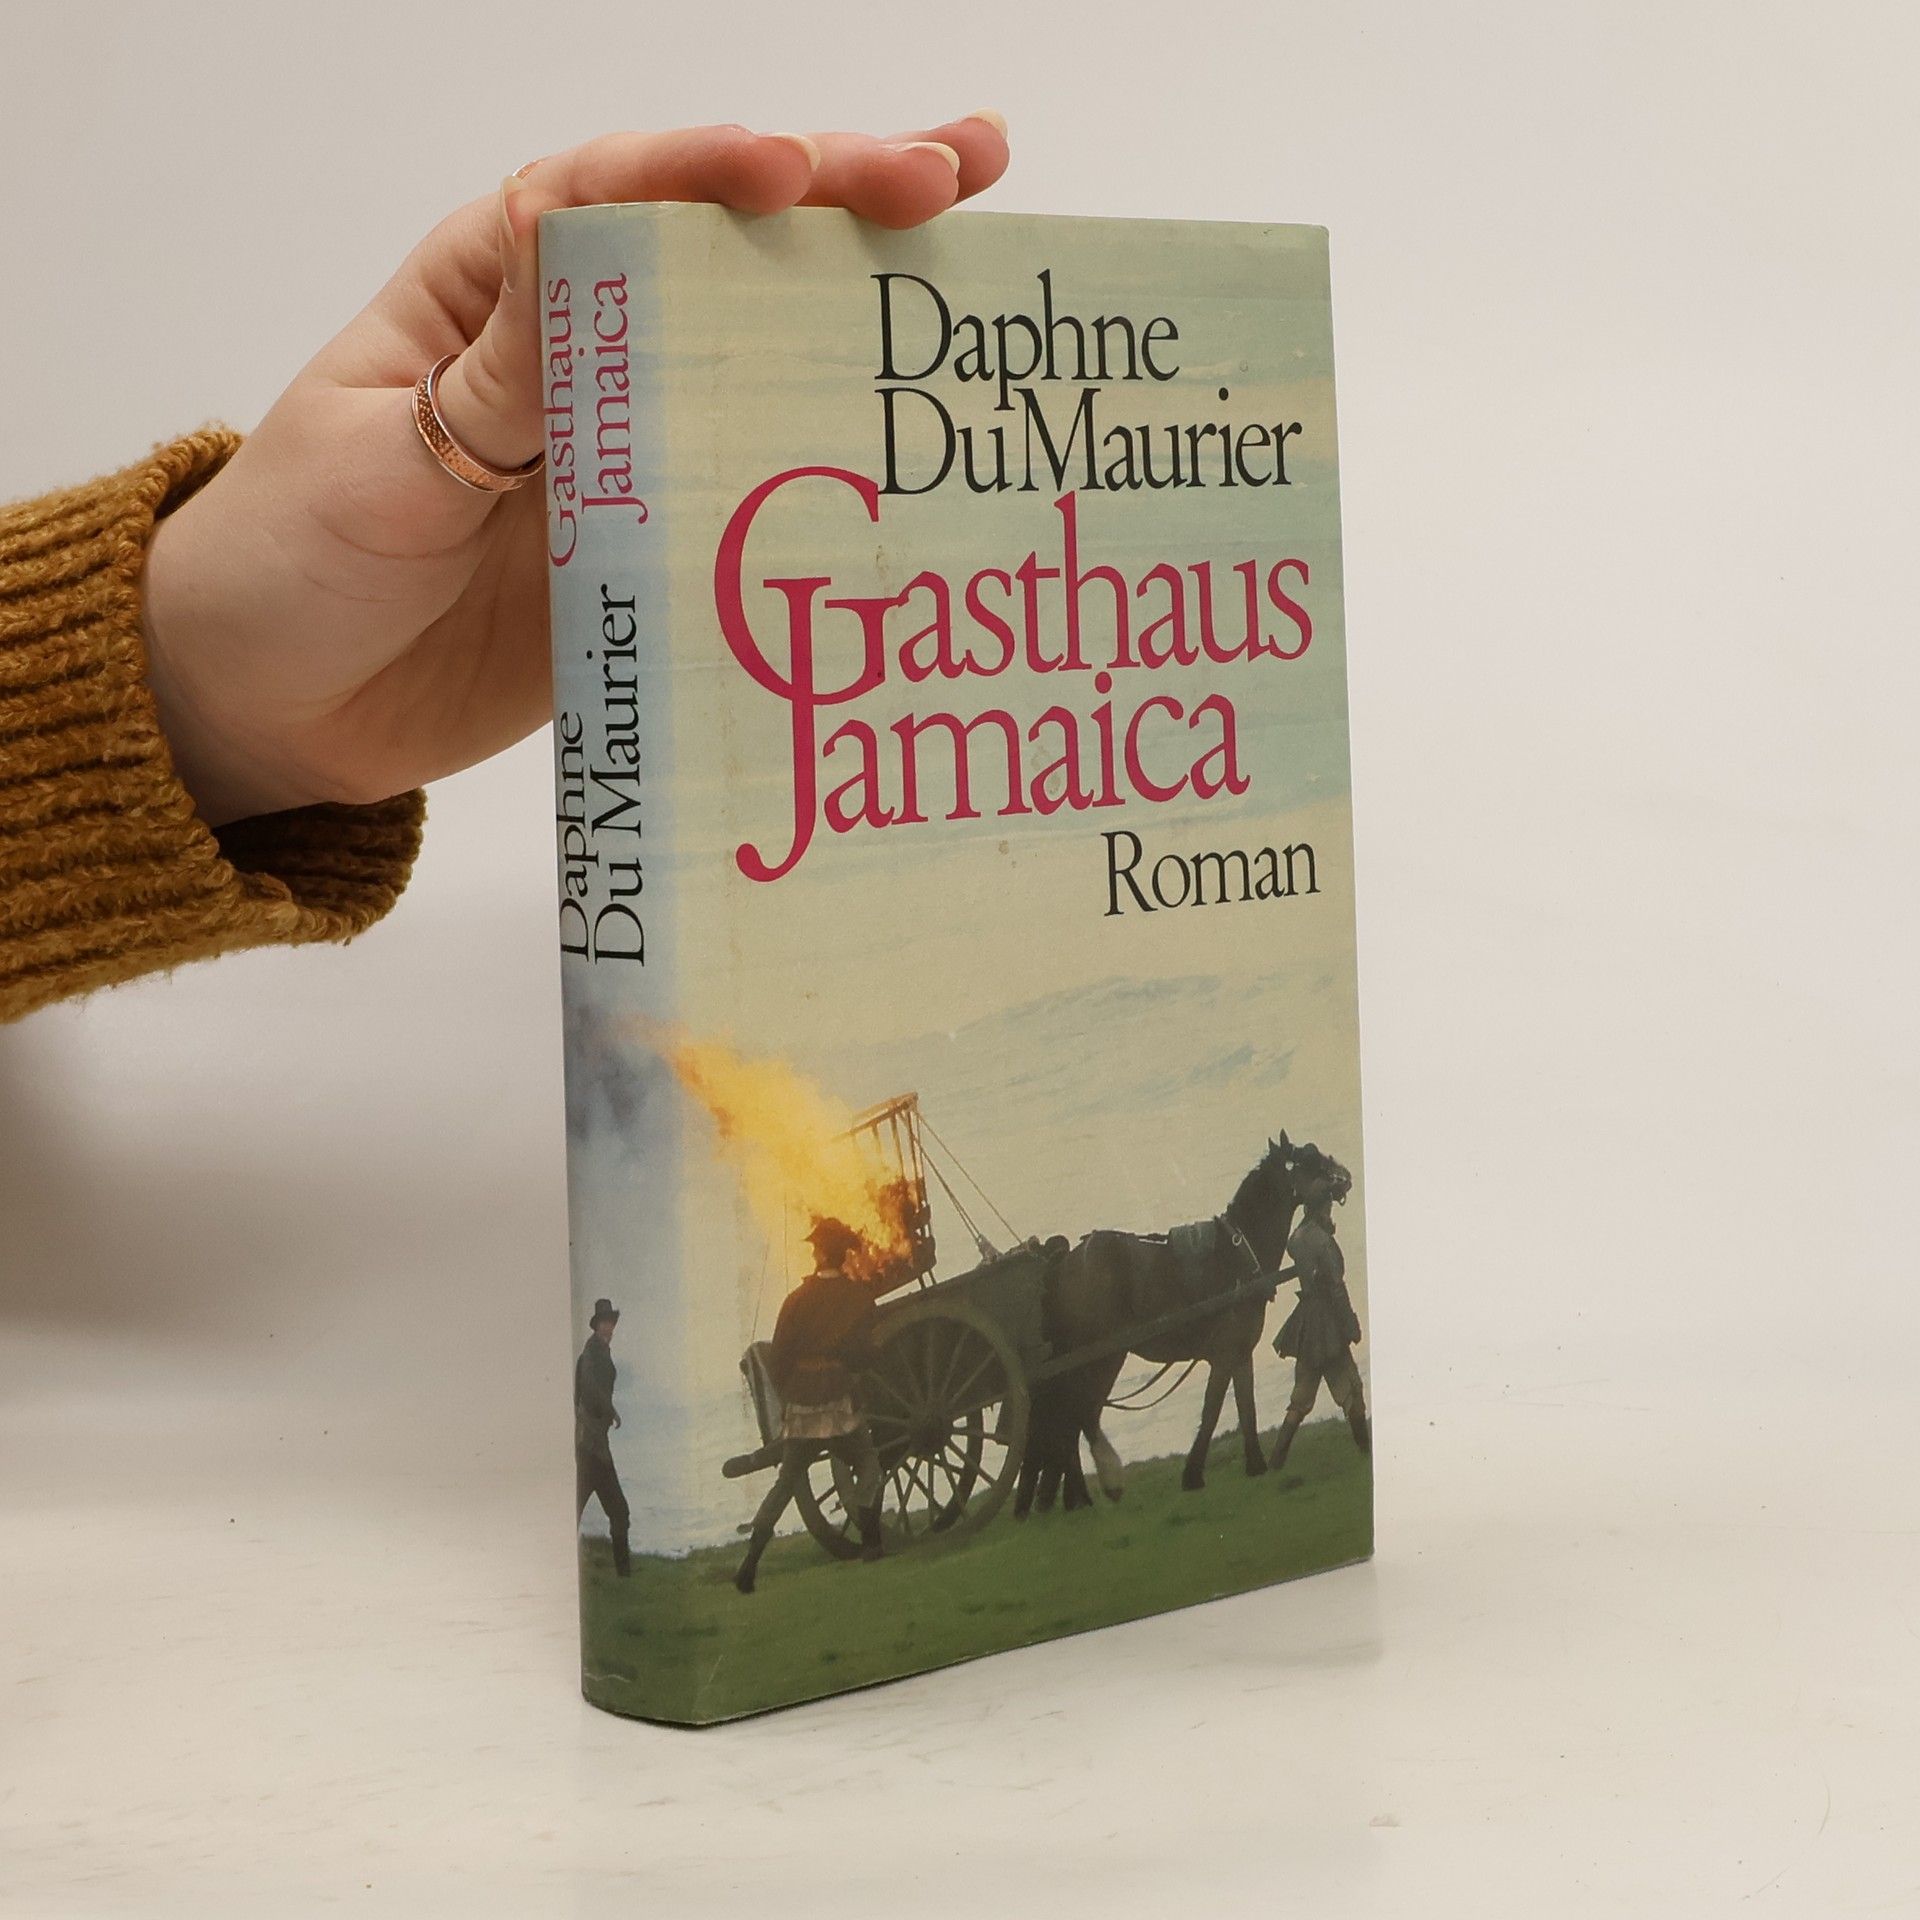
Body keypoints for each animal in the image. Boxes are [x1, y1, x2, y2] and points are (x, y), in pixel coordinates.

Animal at [1013, 1133, 1353, 1515]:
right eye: (1308, 1158)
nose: (1345, 1177)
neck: (1237, 1255)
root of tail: (1059, 1266)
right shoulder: (1223, 1353)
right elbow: (1212, 1410)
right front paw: (1193, 1475)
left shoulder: (1240, 1353)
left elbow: (1246, 1407)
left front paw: (1255, 1464)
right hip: (1101, 1358)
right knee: (1077, 1415)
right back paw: (1091, 1489)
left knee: (1068, 1419)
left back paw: (1071, 1496)